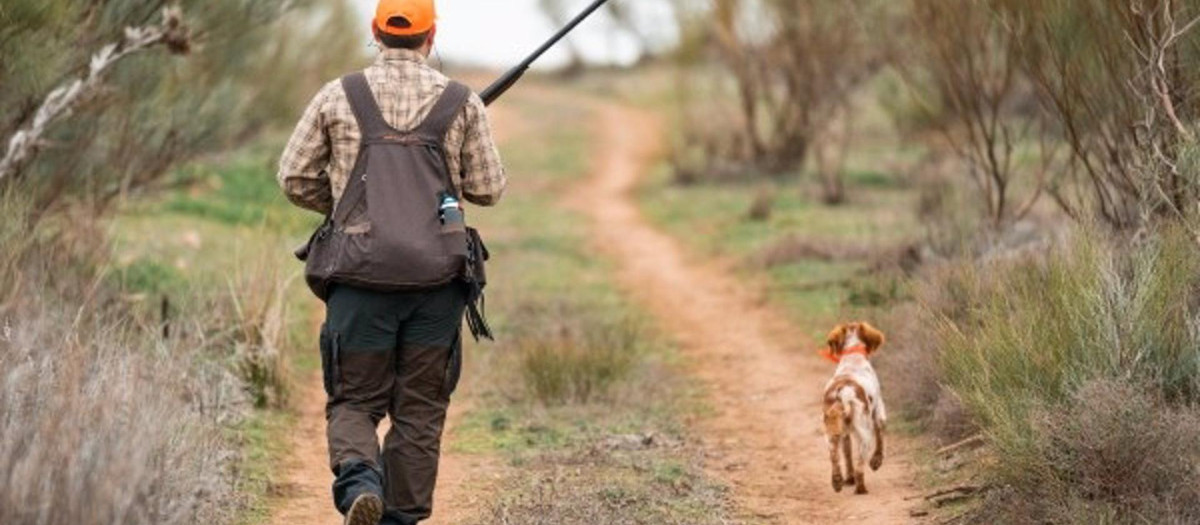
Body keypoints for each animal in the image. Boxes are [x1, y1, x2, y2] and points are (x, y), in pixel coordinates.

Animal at [820, 321, 888, 493]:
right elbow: (880, 437)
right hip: (864, 433)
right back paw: (861, 489)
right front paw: (876, 462)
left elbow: (847, 453)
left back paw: (837, 482)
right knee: (860, 466)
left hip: (831, 434)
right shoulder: (879, 412)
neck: (853, 359)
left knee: (835, 458)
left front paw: (848, 479)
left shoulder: (844, 432)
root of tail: (843, 392)